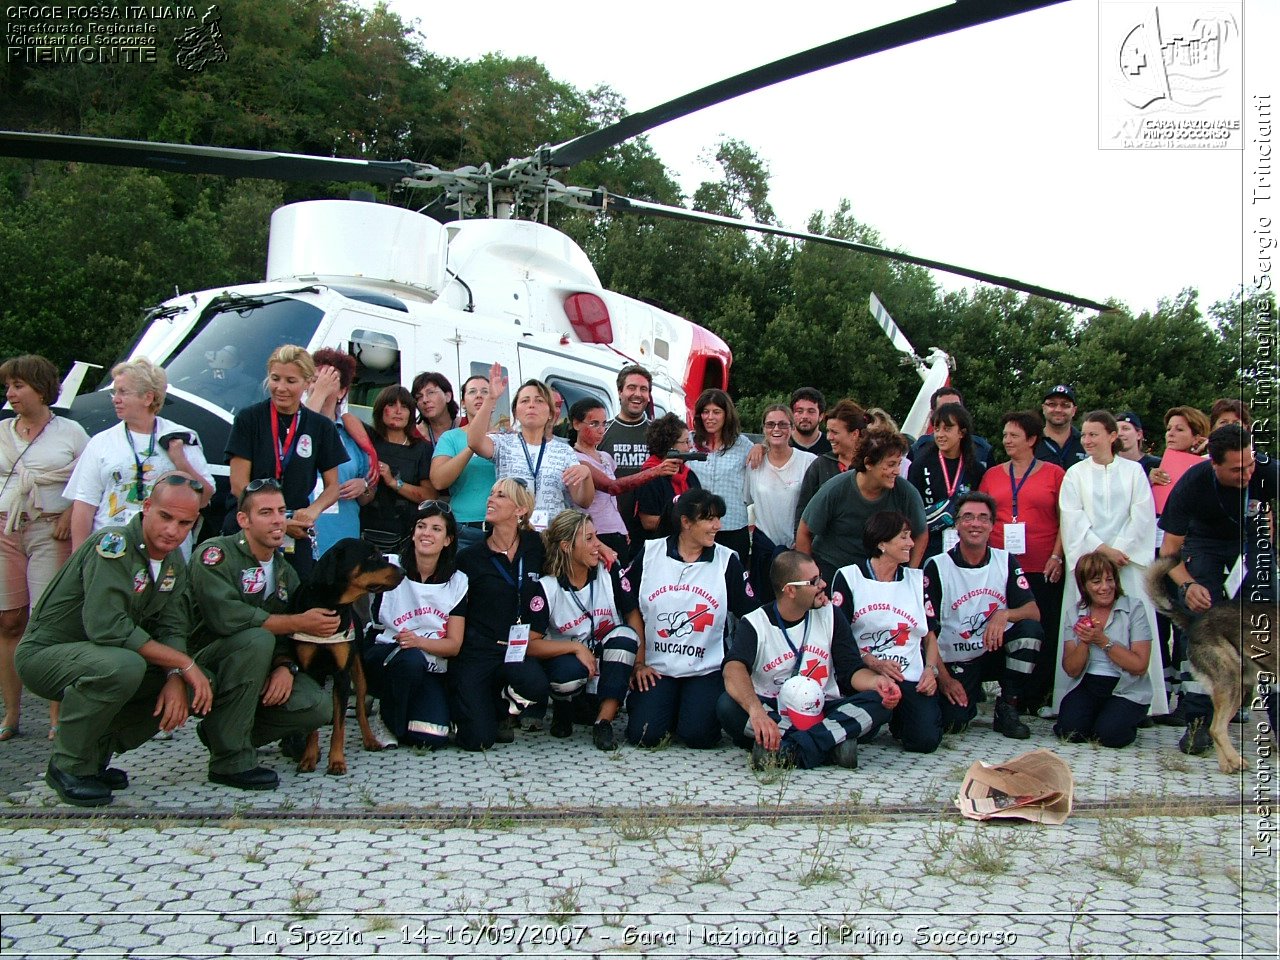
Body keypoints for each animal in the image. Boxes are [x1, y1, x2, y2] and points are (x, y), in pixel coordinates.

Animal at [291, 542, 401, 773]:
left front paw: (337, 761)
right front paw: (308, 758)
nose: (403, 571)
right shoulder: (310, 671)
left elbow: (340, 728)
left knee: (359, 707)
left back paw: (370, 739)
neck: (330, 604)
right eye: (372, 556)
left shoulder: (342, 674)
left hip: (359, 670)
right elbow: (315, 723)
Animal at [1152, 555, 1280, 773]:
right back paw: (1236, 761)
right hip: (1230, 684)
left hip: (1236, 691)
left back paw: (1227, 766)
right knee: (1216, 729)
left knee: (1216, 727)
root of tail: (1196, 619)